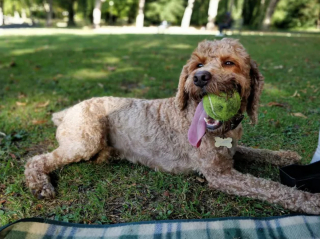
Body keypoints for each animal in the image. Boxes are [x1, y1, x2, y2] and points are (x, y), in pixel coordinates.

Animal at [24, 37, 320, 215]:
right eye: (198, 64)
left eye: (229, 62)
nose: (199, 77)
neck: (221, 130)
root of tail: (64, 112)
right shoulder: (220, 174)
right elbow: (270, 187)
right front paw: (312, 201)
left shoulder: (231, 152)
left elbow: (257, 152)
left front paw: (285, 156)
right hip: (85, 139)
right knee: (36, 160)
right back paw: (40, 184)